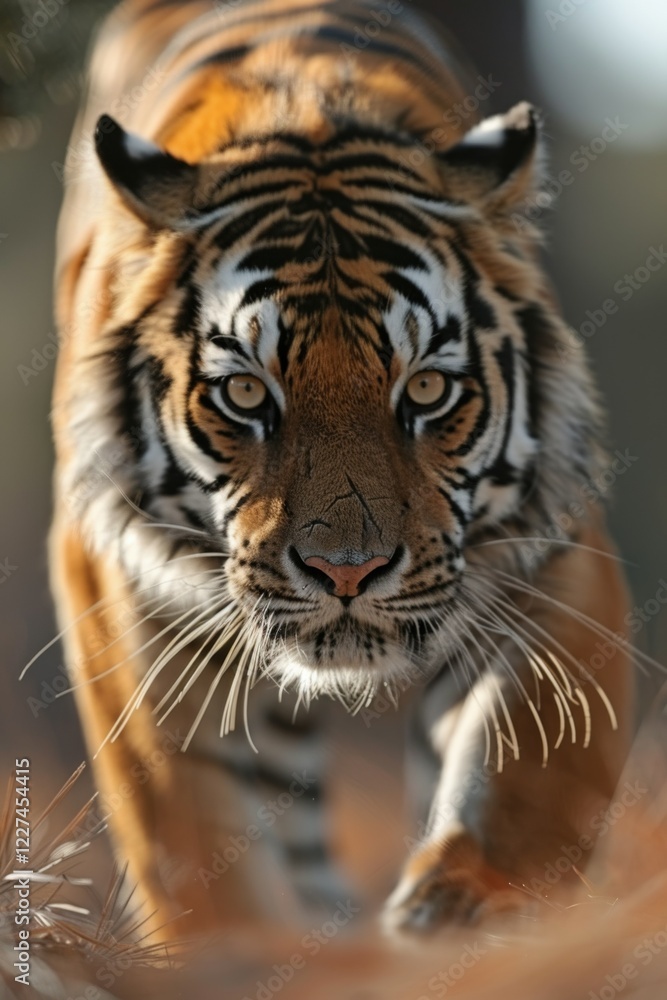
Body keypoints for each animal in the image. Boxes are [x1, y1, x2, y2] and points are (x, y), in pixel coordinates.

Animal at [48, 0, 634, 940]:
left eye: (426, 388)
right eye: (246, 393)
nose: (346, 572)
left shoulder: (556, 554)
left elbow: (523, 783)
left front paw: (457, 915)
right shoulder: (121, 593)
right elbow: (202, 854)